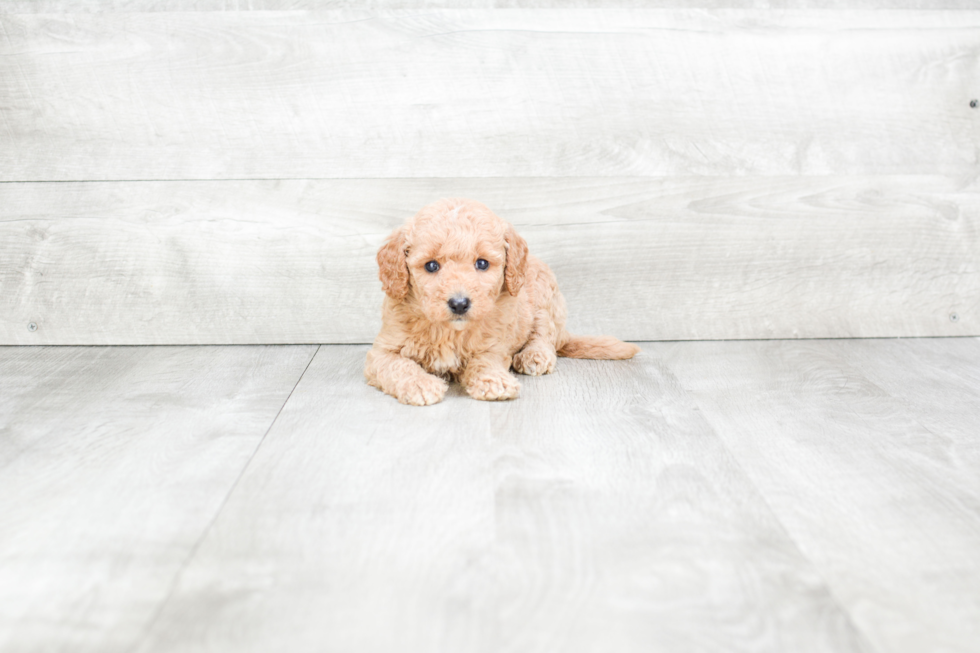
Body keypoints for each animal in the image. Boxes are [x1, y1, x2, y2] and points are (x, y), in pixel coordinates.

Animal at [364, 196, 640, 404]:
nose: (459, 304)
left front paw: (493, 381)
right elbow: (399, 366)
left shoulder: (495, 344)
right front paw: (420, 385)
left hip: (544, 299)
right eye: (431, 266)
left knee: (545, 335)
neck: (450, 331)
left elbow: (485, 361)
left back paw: (534, 356)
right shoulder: (382, 351)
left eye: (482, 263)